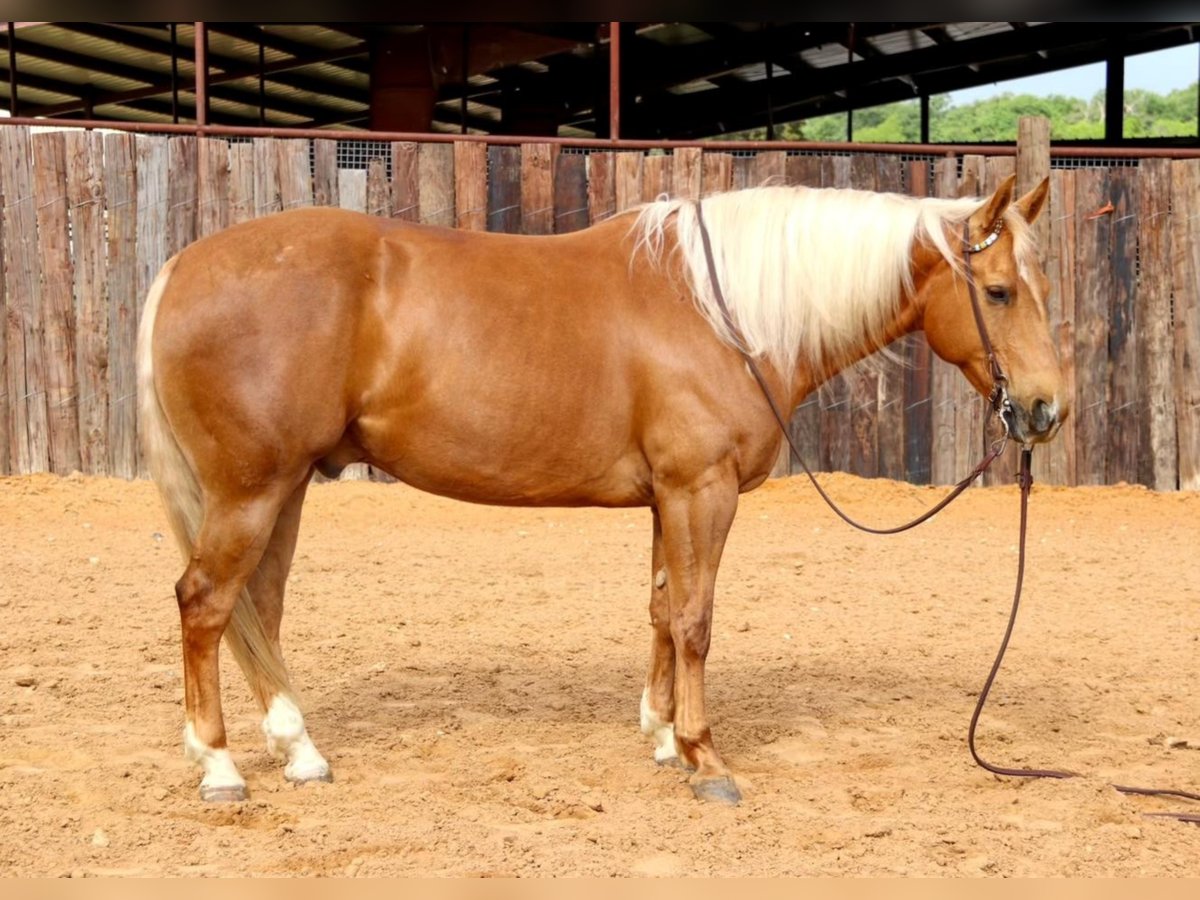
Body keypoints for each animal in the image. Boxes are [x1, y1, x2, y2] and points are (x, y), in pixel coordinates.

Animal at [136, 172, 1065, 806]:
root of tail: (182, 265)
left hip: (283, 488)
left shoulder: (669, 498)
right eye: (997, 292)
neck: (724, 314)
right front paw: (705, 757)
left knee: (259, 608)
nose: (1047, 409)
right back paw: (219, 766)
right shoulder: (701, 491)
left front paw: (661, 737)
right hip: (251, 492)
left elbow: (660, 610)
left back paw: (299, 751)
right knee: (206, 604)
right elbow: (695, 622)